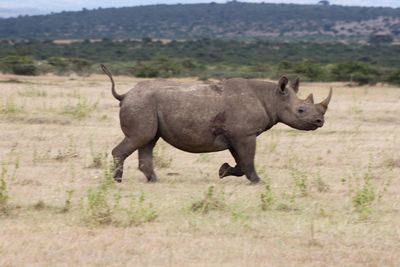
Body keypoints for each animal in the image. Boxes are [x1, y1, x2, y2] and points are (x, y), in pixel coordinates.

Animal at [101, 65, 332, 184]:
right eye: (301, 111)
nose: (320, 121)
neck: (272, 98)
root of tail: (125, 94)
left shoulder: (237, 135)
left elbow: (241, 161)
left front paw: (223, 171)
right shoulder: (245, 134)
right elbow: (248, 159)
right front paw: (258, 181)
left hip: (145, 104)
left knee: (148, 139)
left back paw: (153, 180)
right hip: (141, 104)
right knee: (140, 138)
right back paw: (117, 180)